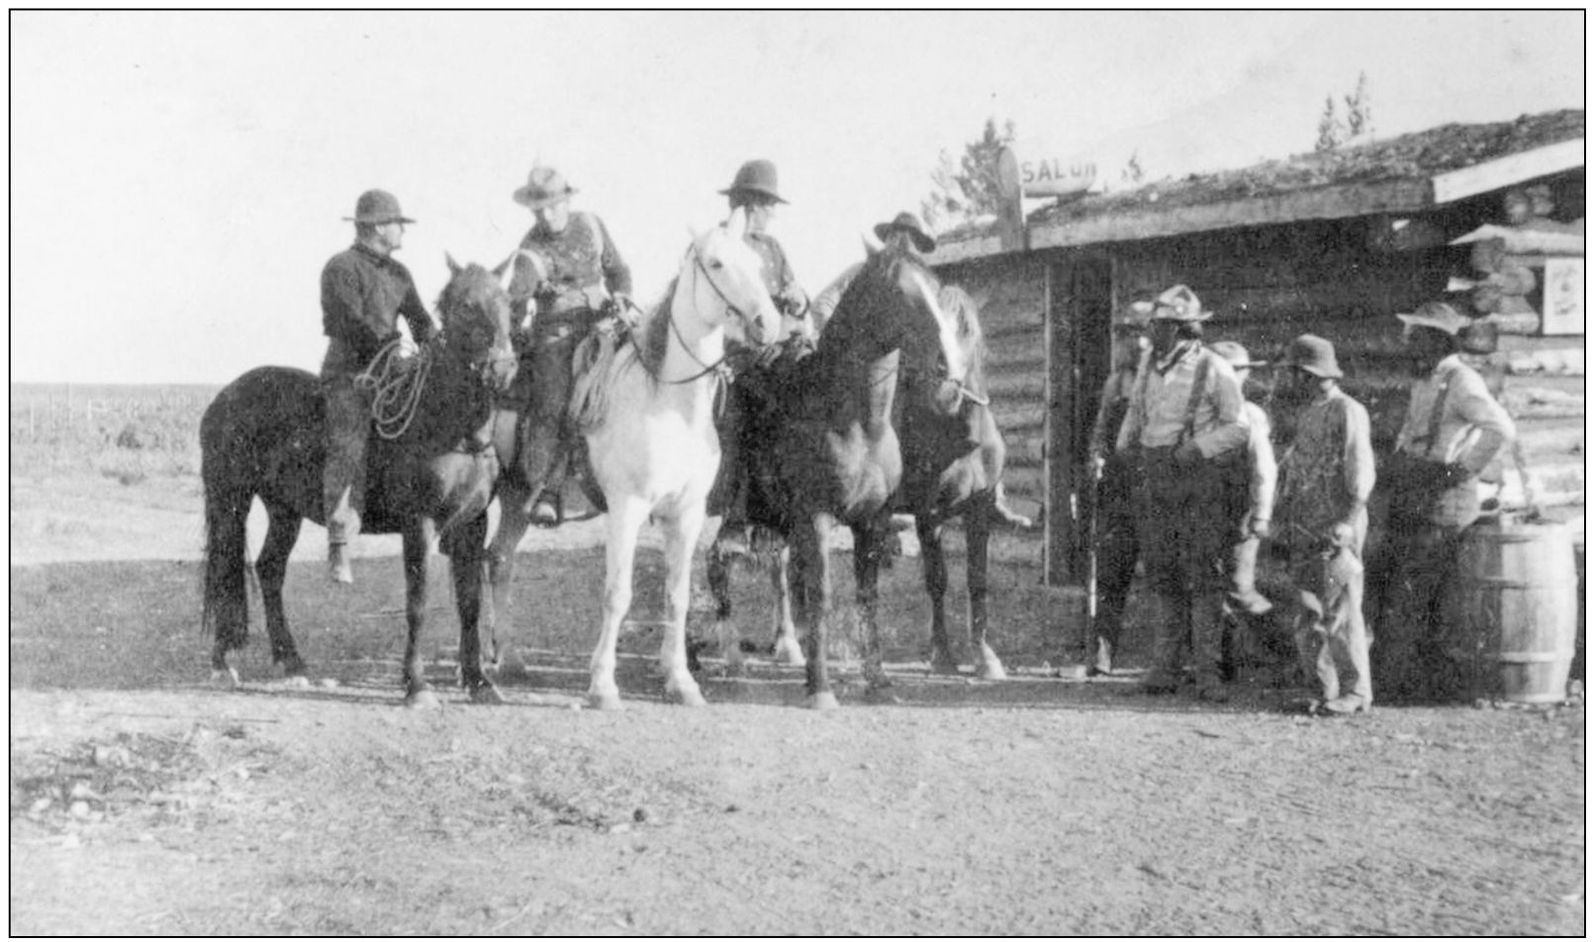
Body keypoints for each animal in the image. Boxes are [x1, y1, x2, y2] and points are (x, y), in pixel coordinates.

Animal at [200, 258, 516, 707]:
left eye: (507, 301)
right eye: (463, 306)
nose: (501, 369)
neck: (448, 424)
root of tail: (223, 398)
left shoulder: (472, 525)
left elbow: (469, 603)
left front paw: (479, 682)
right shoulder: (419, 524)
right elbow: (417, 602)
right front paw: (417, 686)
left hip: (284, 510)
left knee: (269, 569)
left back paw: (292, 662)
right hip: (230, 500)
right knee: (225, 572)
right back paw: (223, 663)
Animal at [576, 207, 780, 707]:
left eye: (755, 260)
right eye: (716, 263)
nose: (768, 323)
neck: (667, 403)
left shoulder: (686, 515)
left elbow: (678, 595)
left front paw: (681, 679)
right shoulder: (626, 509)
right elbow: (618, 594)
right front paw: (602, 684)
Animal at [735, 243, 968, 707]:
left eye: (935, 286)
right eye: (897, 290)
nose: (948, 368)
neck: (856, 423)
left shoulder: (871, 522)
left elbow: (867, 597)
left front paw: (876, 679)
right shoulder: (817, 519)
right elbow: (821, 595)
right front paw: (821, 687)